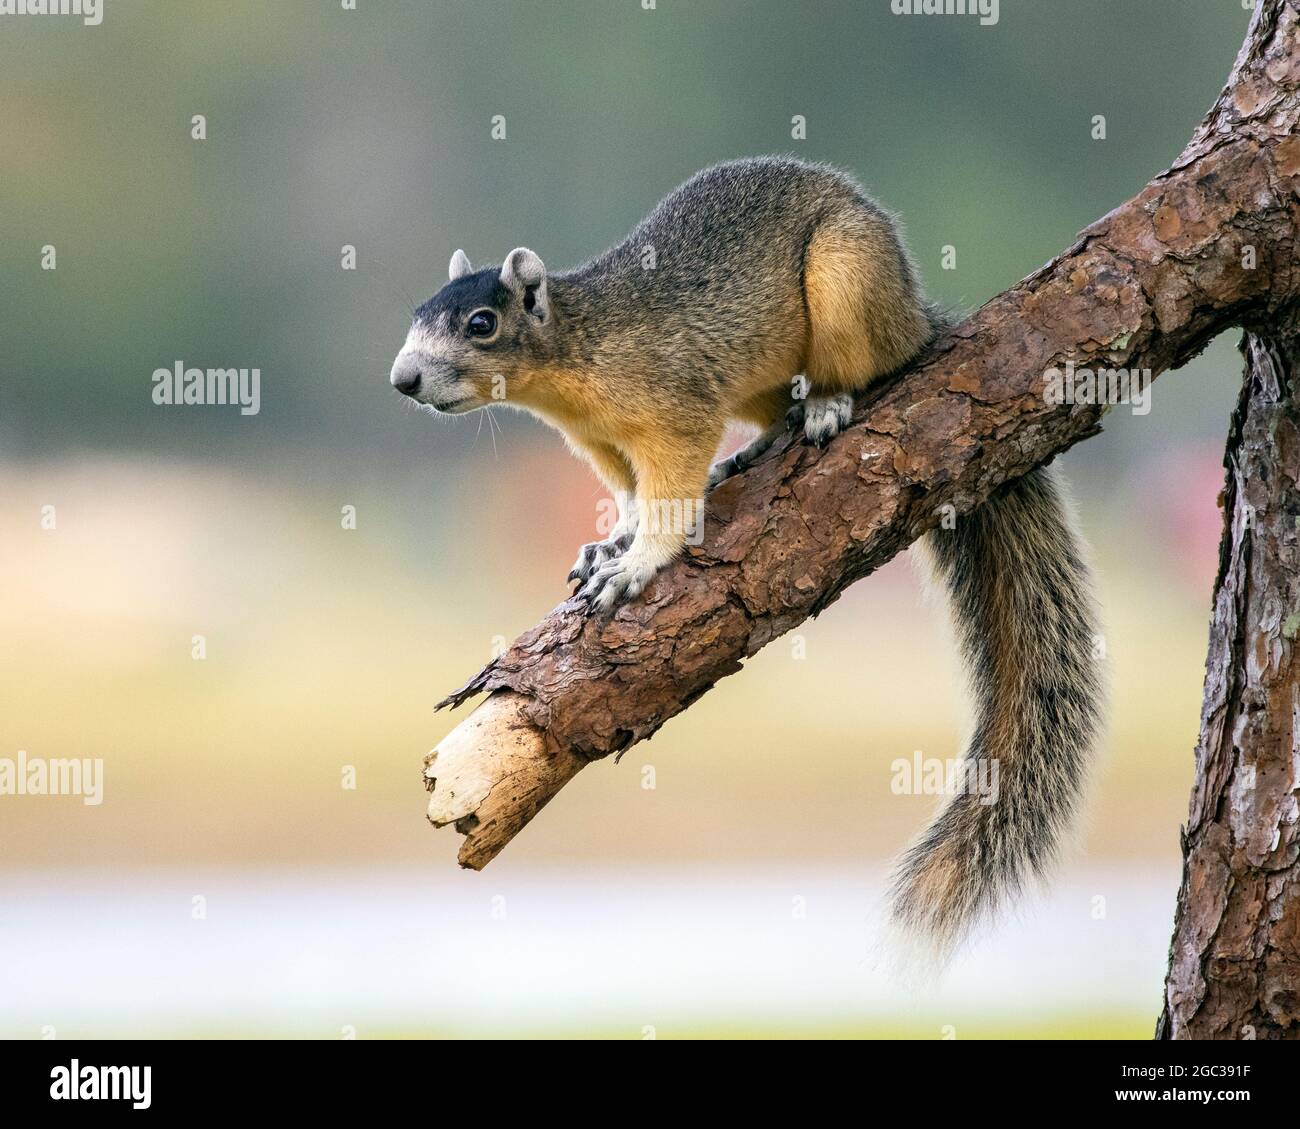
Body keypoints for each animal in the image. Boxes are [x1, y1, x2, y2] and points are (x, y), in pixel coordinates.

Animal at [390, 154, 1102, 957]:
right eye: (416, 313)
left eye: (481, 324)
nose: (402, 380)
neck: (576, 356)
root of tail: (916, 313)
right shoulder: (602, 444)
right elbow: (629, 497)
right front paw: (611, 541)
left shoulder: (673, 411)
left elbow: (669, 498)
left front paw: (637, 563)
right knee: (776, 410)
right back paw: (759, 446)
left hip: (847, 282)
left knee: (867, 371)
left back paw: (827, 405)